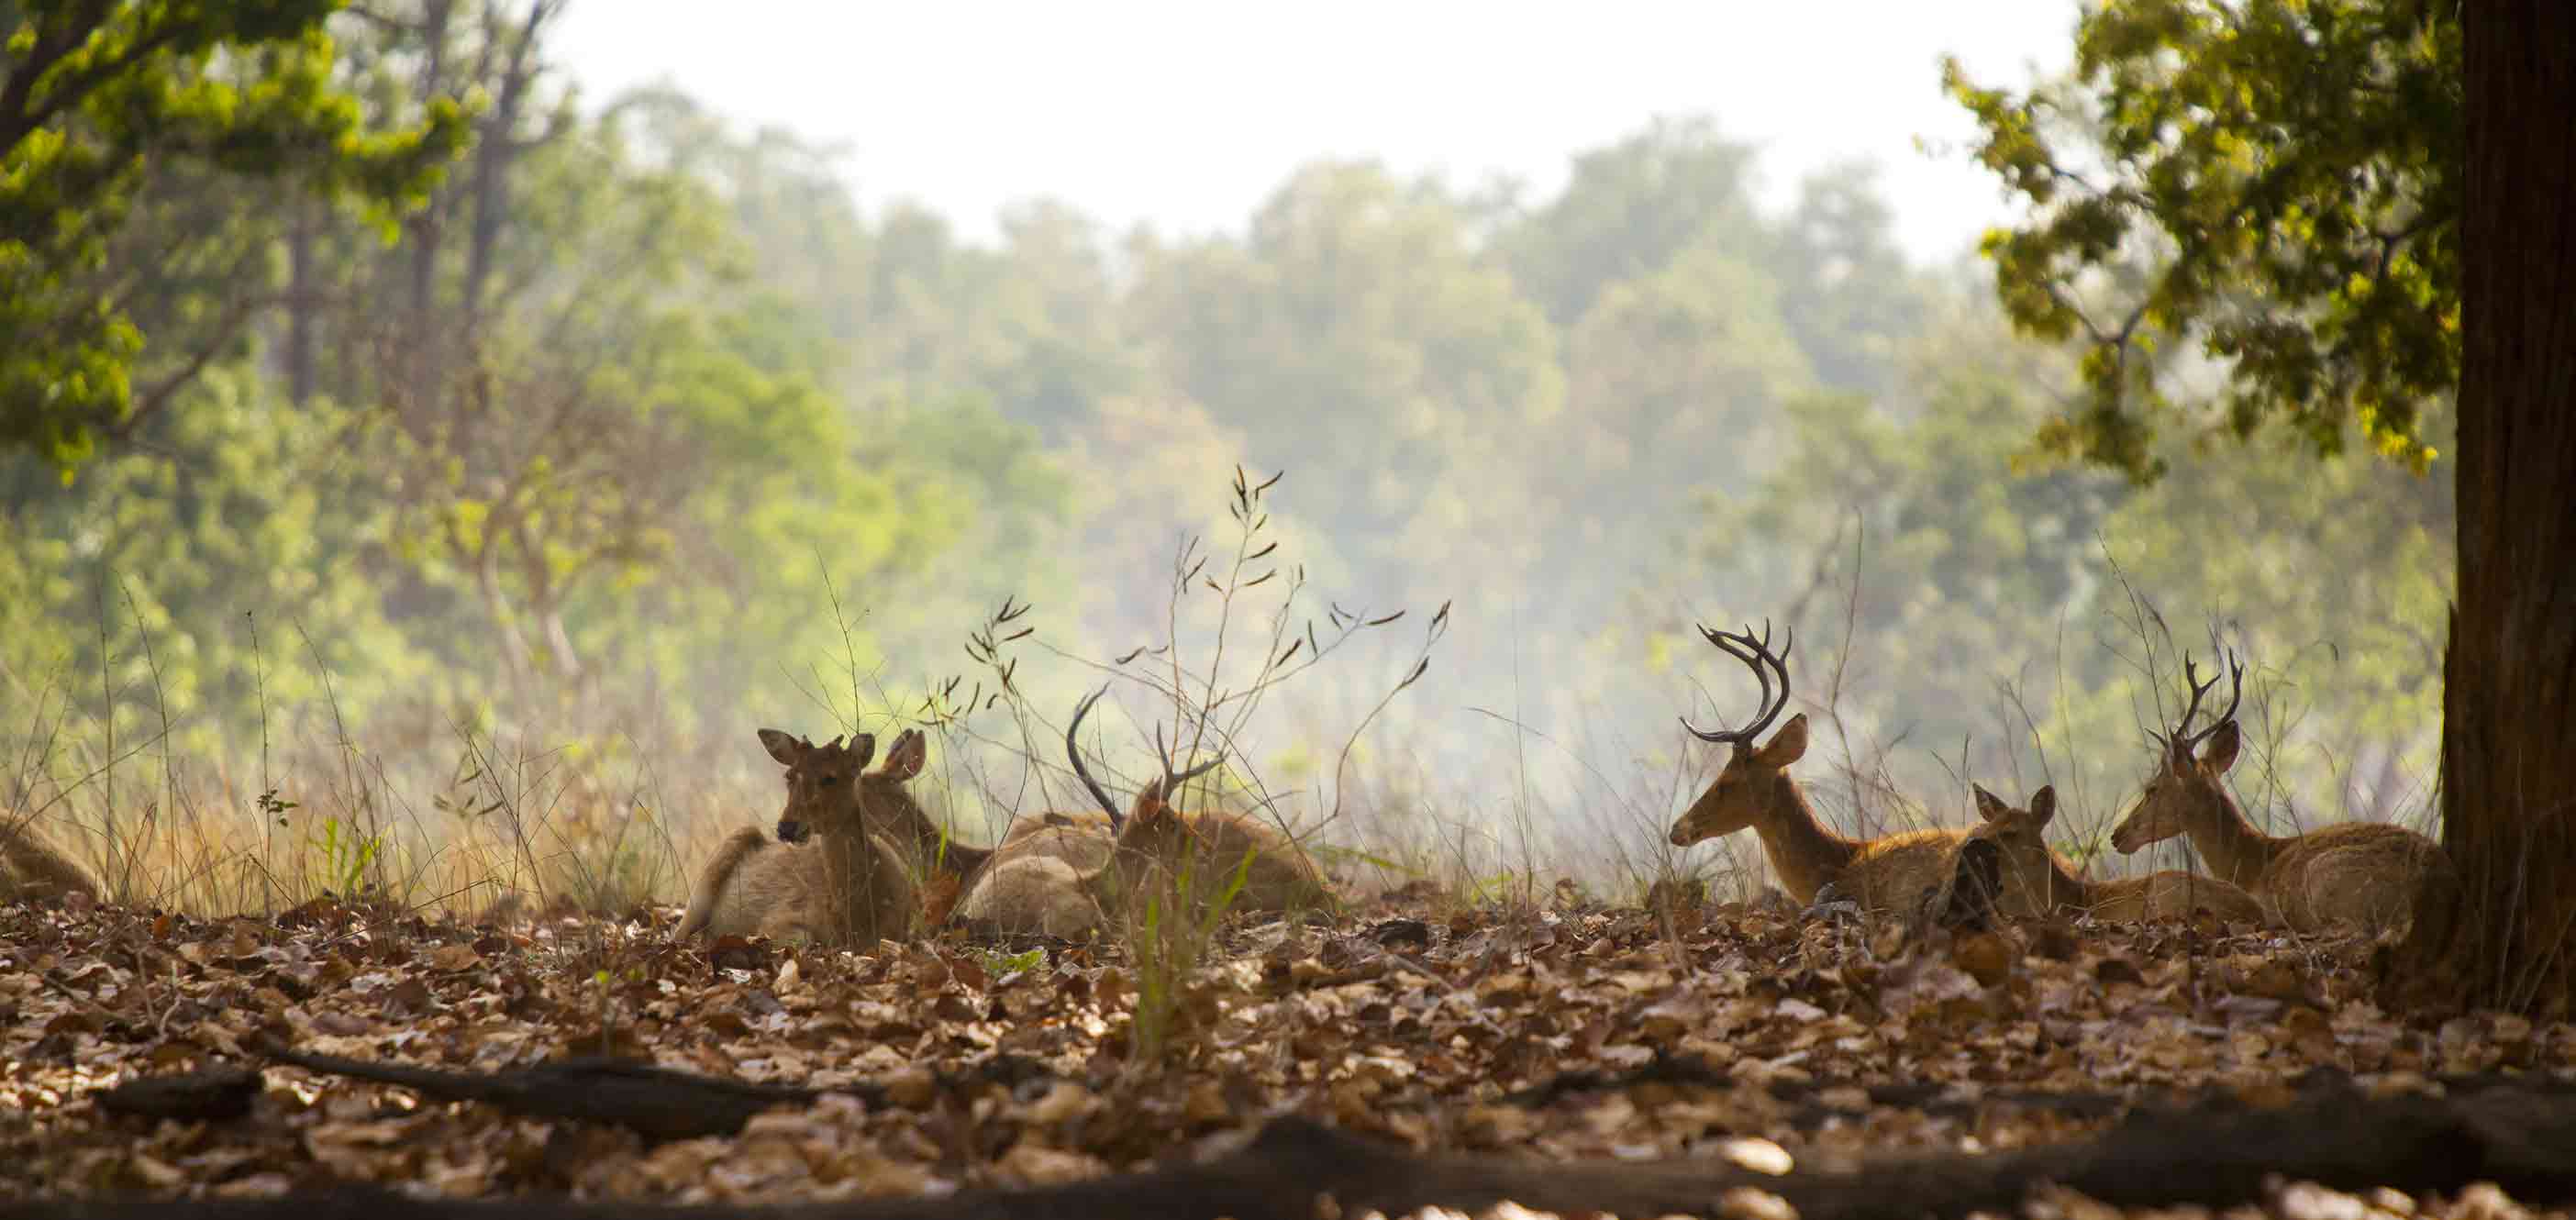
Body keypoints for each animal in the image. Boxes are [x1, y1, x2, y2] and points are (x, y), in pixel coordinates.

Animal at [680, 730, 922, 947]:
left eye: (830, 777)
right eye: (789, 775)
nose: (787, 827)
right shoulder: (780, 915)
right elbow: (801, 938)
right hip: (707, 880)